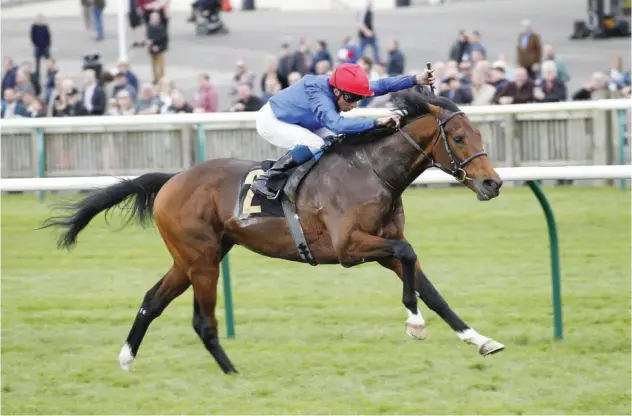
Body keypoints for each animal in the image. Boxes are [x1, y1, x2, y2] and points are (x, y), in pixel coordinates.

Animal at [40, 88, 504, 374]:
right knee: (202, 320)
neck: (372, 171)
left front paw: (479, 339)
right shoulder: (350, 248)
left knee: (152, 300)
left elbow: (430, 288)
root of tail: (173, 179)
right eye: (459, 138)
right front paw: (414, 321)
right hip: (202, 260)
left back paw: (127, 358)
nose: (493, 183)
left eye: (478, 134)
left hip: (192, 257)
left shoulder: (382, 245)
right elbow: (408, 259)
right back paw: (232, 372)